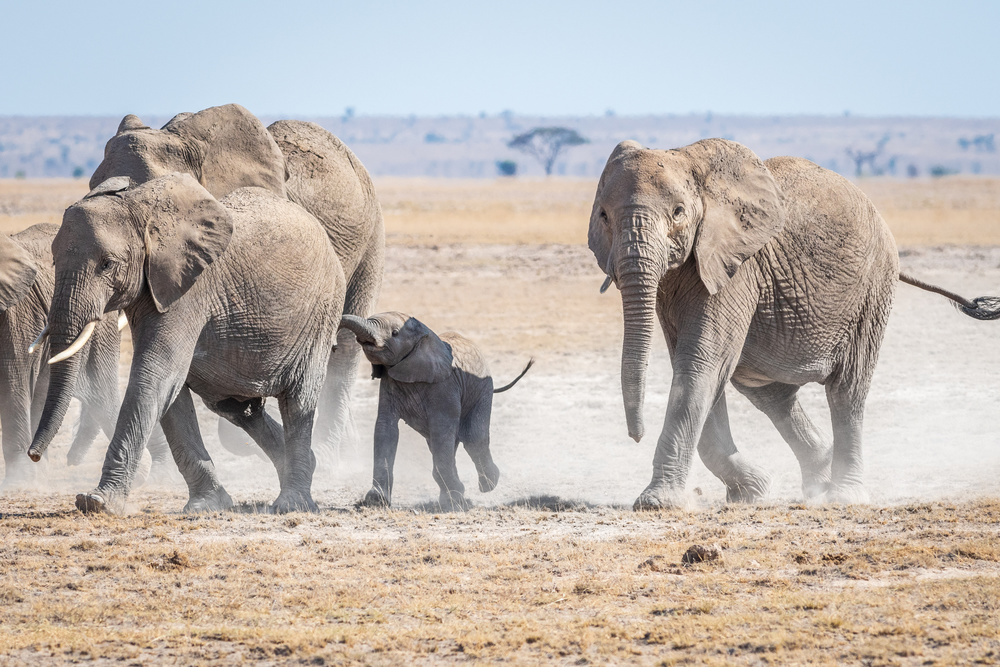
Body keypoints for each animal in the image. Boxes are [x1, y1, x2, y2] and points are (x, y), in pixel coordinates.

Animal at [28, 175, 348, 516]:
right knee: (239, 408)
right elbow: (171, 389)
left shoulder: (189, 290)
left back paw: (292, 503)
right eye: (53, 259)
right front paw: (207, 504)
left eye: (107, 264)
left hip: (321, 313)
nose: (33, 455)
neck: (140, 207)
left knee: (298, 399)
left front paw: (97, 502)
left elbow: (154, 376)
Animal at [340, 314, 536, 512]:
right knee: (441, 444)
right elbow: (386, 430)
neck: (424, 337)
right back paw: (450, 499)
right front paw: (376, 500)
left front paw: (458, 495)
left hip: (482, 389)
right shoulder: (389, 383)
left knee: (472, 437)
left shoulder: (444, 385)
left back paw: (487, 485)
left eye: (394, 333)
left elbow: (442, 430)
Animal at [584, 138, 1000, 508]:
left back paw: (843, 496)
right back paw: (818, 480)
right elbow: (701, 367)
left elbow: (701, 364)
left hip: (872, 290)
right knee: (769, 392)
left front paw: (657, 503)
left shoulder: (737, 266)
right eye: (603, 216)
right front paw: (753, 493)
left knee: (846, 390)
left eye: (678, 212)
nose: (635, 436)